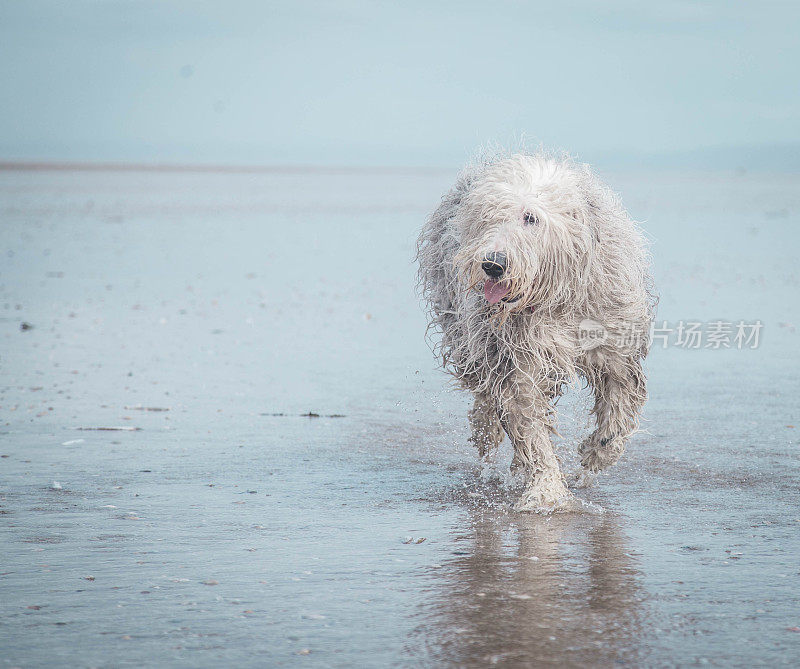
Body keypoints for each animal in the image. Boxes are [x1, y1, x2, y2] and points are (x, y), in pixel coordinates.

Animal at [416, 149, 652, 508]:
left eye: (530, 218)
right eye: (487, 216)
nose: (493, 264)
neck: (554, 299)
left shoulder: (614, 346)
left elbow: (619, 409)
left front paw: (596, 454)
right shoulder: (512, 357)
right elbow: (529, 426)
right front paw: (547, 491)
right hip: (465, 330)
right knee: (484, 391)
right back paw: (487, 432)